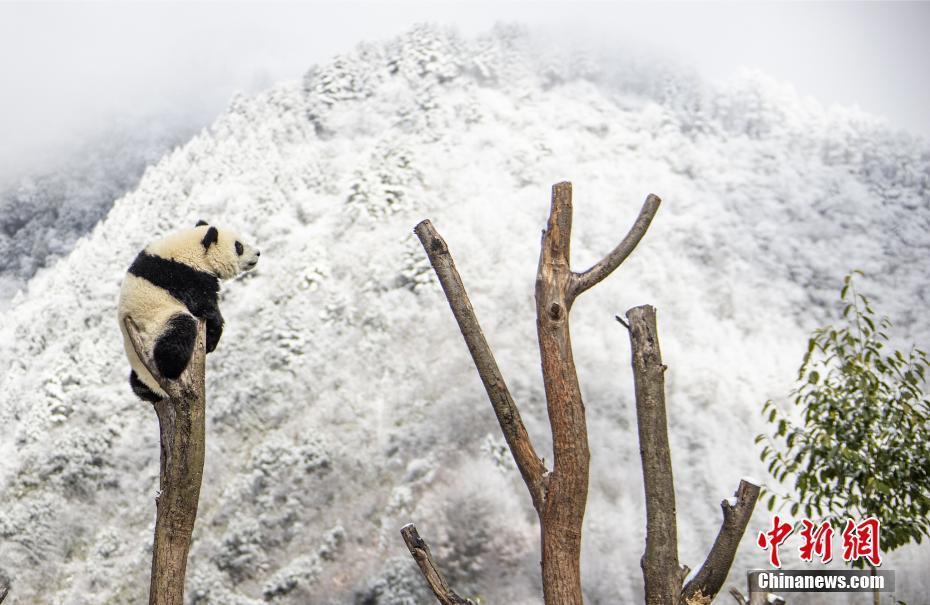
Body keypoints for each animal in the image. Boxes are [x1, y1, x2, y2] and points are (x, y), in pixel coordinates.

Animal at [118, 222, 260, 402]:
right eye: (239, 246)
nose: (258, 253)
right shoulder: (184, 277)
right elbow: (203, 306)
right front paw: (213, 335)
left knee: (137, 383)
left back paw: (144, 390)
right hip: (154, 326)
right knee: (179, 331)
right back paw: (171, 367)